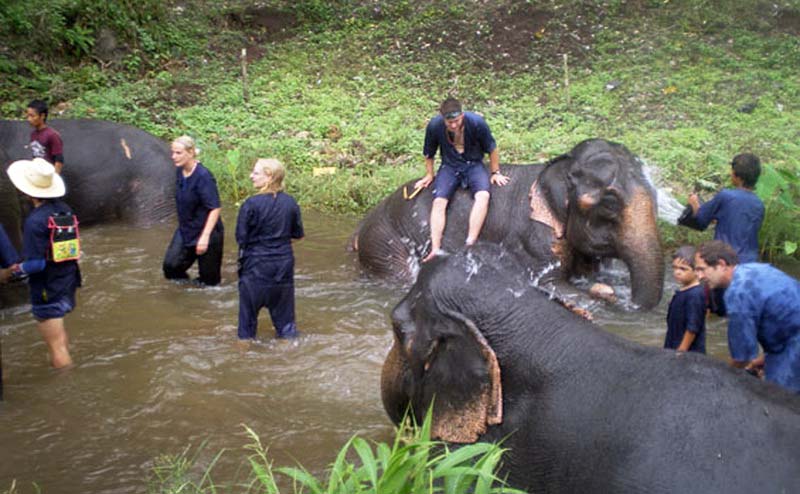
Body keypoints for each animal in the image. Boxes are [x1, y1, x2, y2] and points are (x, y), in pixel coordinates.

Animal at [354, 138, 664, 308]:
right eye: (609, 204)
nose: (629, 302)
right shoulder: (533, 239)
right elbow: (552, 285)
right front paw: (604, 295)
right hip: (384, 243)